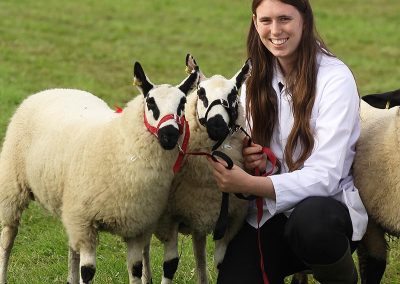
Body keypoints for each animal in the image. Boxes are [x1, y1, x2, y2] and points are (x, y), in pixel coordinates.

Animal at [0, 62, 200, 284]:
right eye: (150, 102)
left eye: (182, 103)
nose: (170, 134)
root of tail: (54, 90)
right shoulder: (85, 223)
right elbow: (87, 271)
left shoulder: (137, 226)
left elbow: (135, 269)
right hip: (12, 186)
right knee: (7, 238)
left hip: (69, 206)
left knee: (71, 248)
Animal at [142, 55, 252, 284]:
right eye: (201, 92)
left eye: (233, 93)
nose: (217, 125)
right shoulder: (170, 218)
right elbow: (170, 265)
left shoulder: (229, 222)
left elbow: (219, 263)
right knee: (144, 248)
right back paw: (146, 277)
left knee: (200, 255)